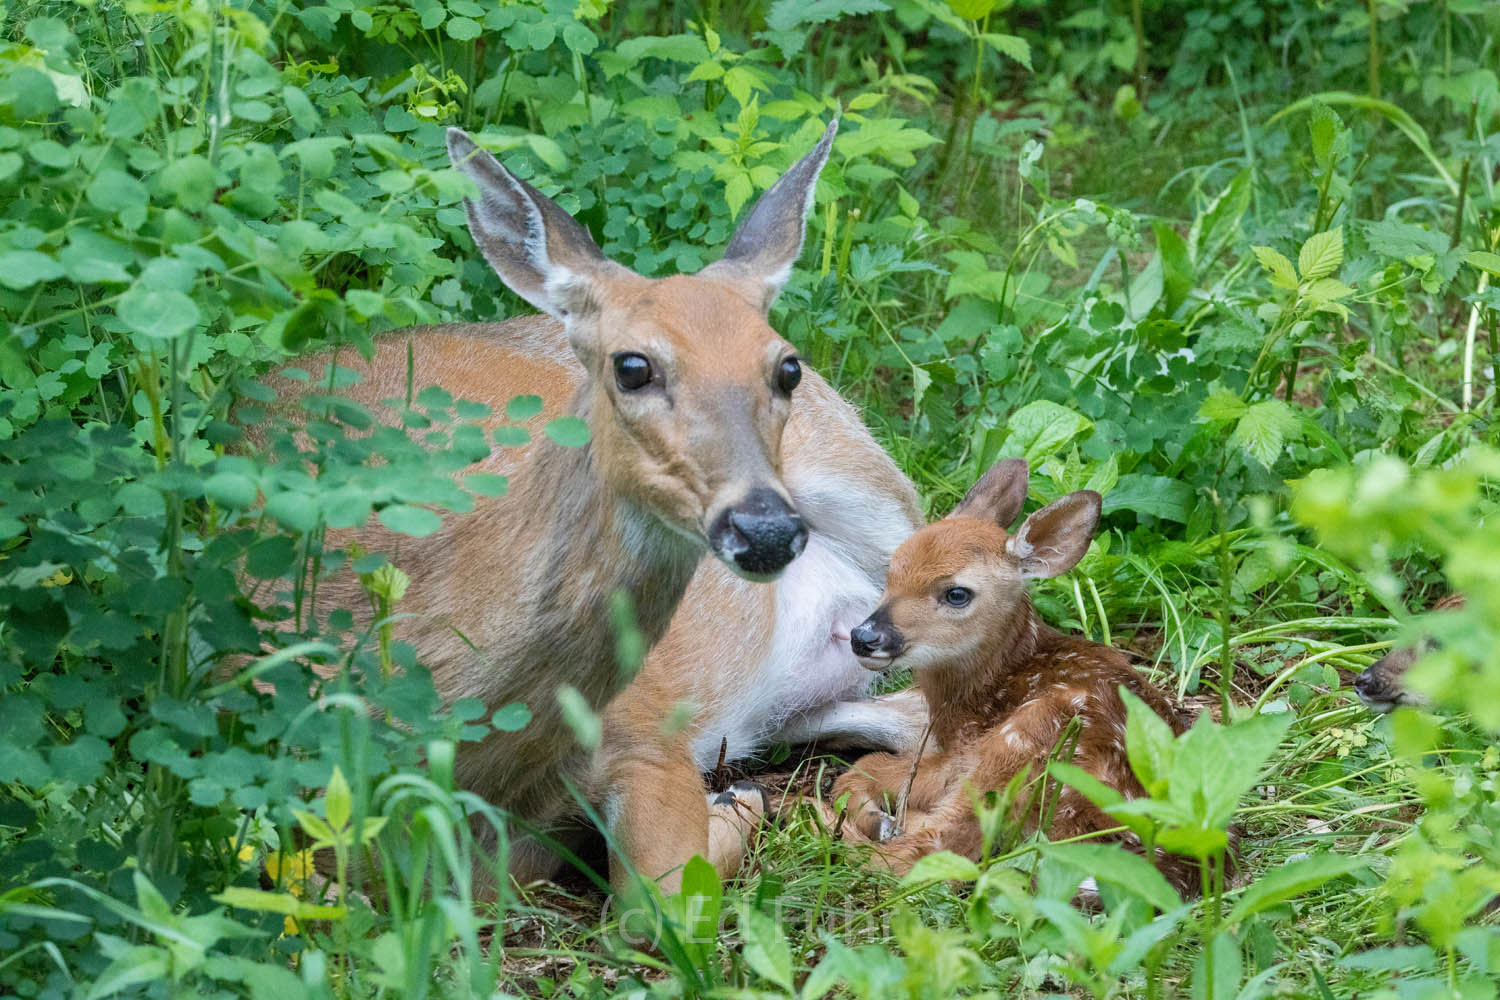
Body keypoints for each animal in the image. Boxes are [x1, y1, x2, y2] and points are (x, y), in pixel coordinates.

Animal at [270, 119, 906, 893]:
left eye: (786, 366)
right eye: (632, 366)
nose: (766, 529)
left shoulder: (649, 728)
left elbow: (664, 891)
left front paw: (739, 808)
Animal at [834, 458, 1194, 893]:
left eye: (957, 593)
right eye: (892, 570)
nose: (865, 637)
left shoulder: (968, 750)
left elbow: (864, 767)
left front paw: (877, 818)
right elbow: (864, 769)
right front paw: (878, 816)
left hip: (1026, 741)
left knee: (925, 854)